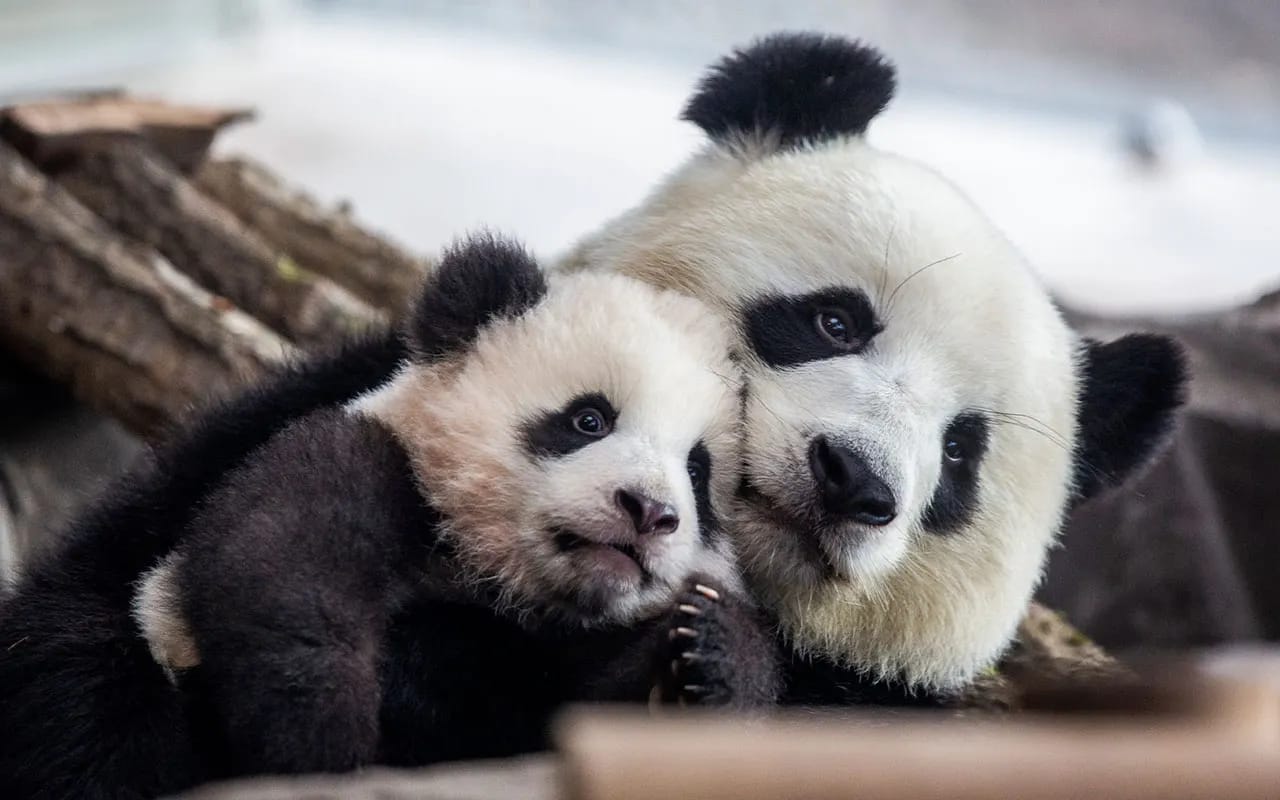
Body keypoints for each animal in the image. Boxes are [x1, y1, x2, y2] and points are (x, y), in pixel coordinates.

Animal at [0, 234, 768, 793]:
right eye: (589, 419)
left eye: (697, 472)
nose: (649, 511)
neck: (497, 581)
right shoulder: (369, 460)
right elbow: (281, 554)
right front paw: (320, 732)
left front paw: (703, 659)